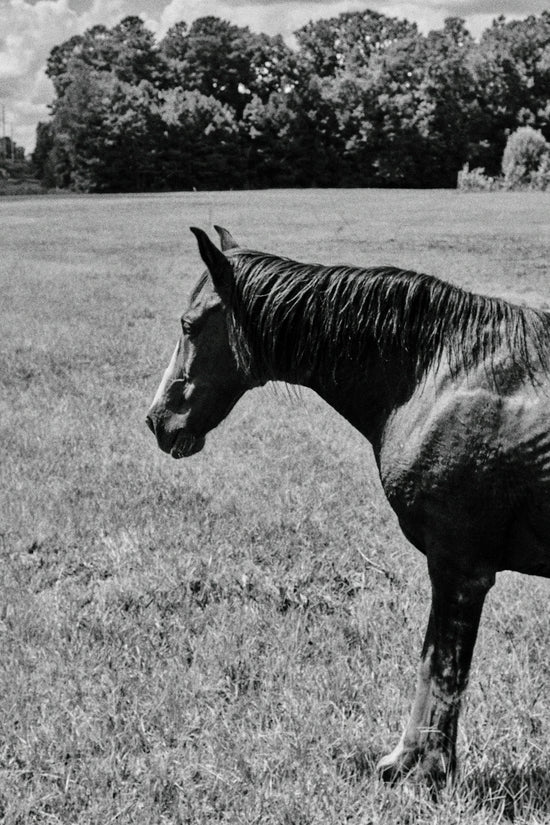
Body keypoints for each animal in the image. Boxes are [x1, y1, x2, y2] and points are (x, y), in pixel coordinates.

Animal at [146, 225, 550, 787]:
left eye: (188, 325)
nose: (156, 419)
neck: (442, 372)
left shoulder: (459, 569)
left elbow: (440, 668)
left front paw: (420, 768)